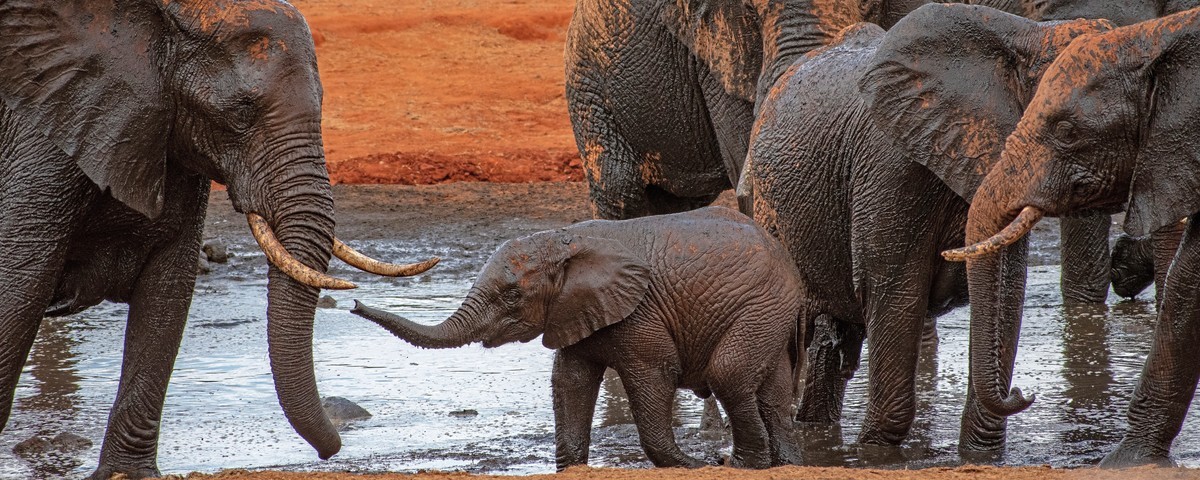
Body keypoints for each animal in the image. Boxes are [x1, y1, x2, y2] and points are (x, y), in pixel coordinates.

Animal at [0, 1, 436, 477]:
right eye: (241, 112)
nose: (332, 451)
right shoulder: (41, 142)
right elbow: (19, 288)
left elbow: (167, 293)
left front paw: (126, 474)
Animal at [352, 206, 806, 468]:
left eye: (513, 296)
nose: (354, 304)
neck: (560, 240)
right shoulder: (574, 310)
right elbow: (569, 381)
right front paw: (570, 466)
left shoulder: (640, 311)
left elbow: (653, 375)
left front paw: (689, 466)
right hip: (770, 313)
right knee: (772, 390)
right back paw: (785, 462)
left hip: (762, 305)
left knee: (728, 374)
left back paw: (740, 465)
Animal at [739, 2, 1113, 451]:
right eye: (1066, 130)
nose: (1024, 393)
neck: (1027, 38)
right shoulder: (888, 167)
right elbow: (897, 290)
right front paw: (875, 452)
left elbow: (1008, 291)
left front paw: (980, 451)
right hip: (769, 209)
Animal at [945, 6, 1200, 465]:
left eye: (1067, 132)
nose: (1022, 391)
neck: (1155, 37)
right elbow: (1188, 282)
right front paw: (1130, 461)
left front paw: (1122, 463)